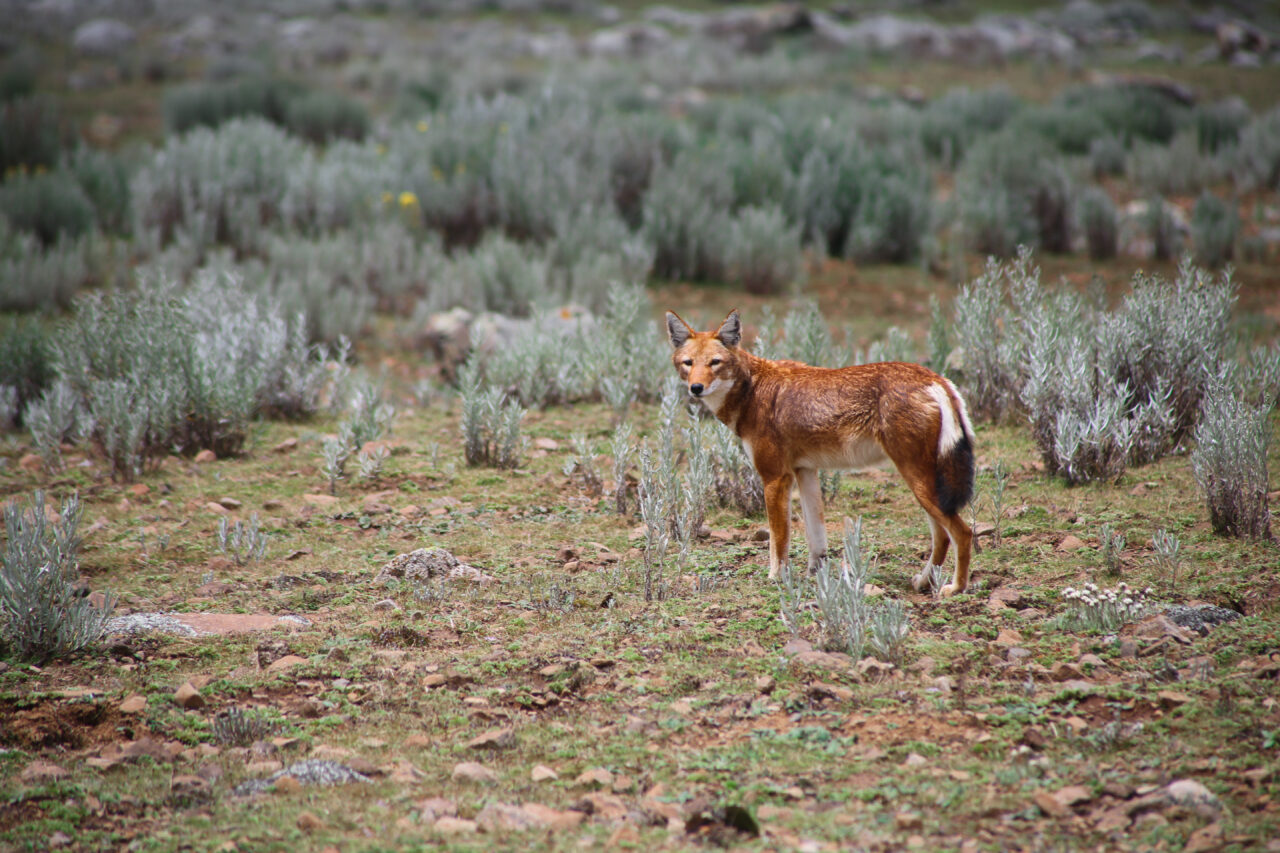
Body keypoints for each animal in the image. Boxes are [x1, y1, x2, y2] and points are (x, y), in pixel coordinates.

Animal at [666, 309, 976, 596]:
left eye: (714, 363)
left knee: (962, 532)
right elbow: (816, 539)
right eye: (688, 363)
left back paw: (955, 588)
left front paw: (776, 578)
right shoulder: (805, 472)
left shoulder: (775, 478)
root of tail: (935, 378)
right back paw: (923, 582)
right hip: (923, 487)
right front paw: (816, 576)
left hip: (919, 483)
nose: (696, 388)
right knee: (942, 537)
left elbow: (778, 541)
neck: (751, 390)